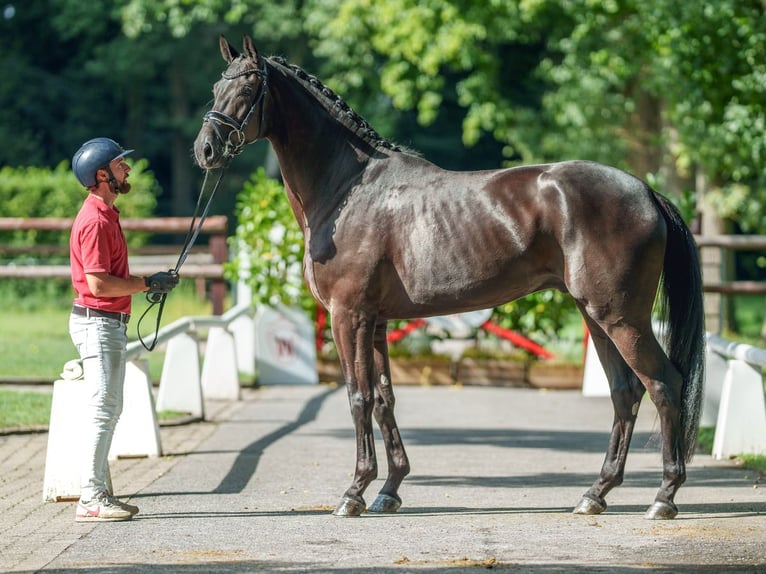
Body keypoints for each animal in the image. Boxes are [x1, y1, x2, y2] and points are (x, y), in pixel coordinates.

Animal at [194, 36, 708, 520]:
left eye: (248, 88)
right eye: (216, 87)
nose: (206, 150)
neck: (348, 190)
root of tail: (646, 192)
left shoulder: (349, 317)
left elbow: (358, 397)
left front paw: (354, 492)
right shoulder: (376, 322)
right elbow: (384, 399)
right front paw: (389, 490)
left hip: (621, 317)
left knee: (664, 385)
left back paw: (663, 498)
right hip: (596, 316)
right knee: (626, 392)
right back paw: (594, 495)